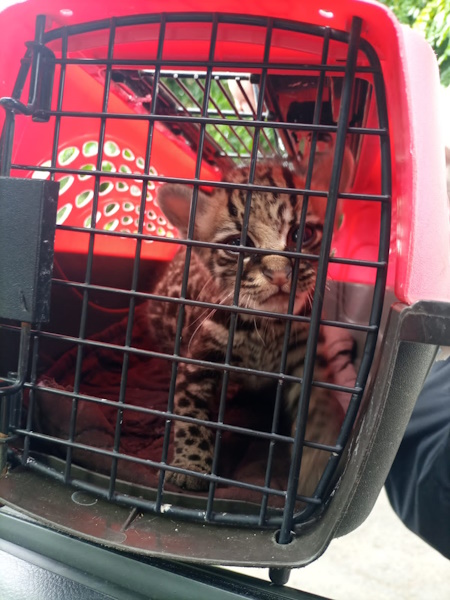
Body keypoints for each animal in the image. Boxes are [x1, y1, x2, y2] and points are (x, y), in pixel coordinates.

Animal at [148, 155, 353, 495]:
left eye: (302, 234)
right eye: (238, 243)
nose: (279, 274)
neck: (266, 327)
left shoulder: (304, 361)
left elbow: (318, 411)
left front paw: (314, 467)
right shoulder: (197, 360)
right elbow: (191, 413)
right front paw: (191, 466)